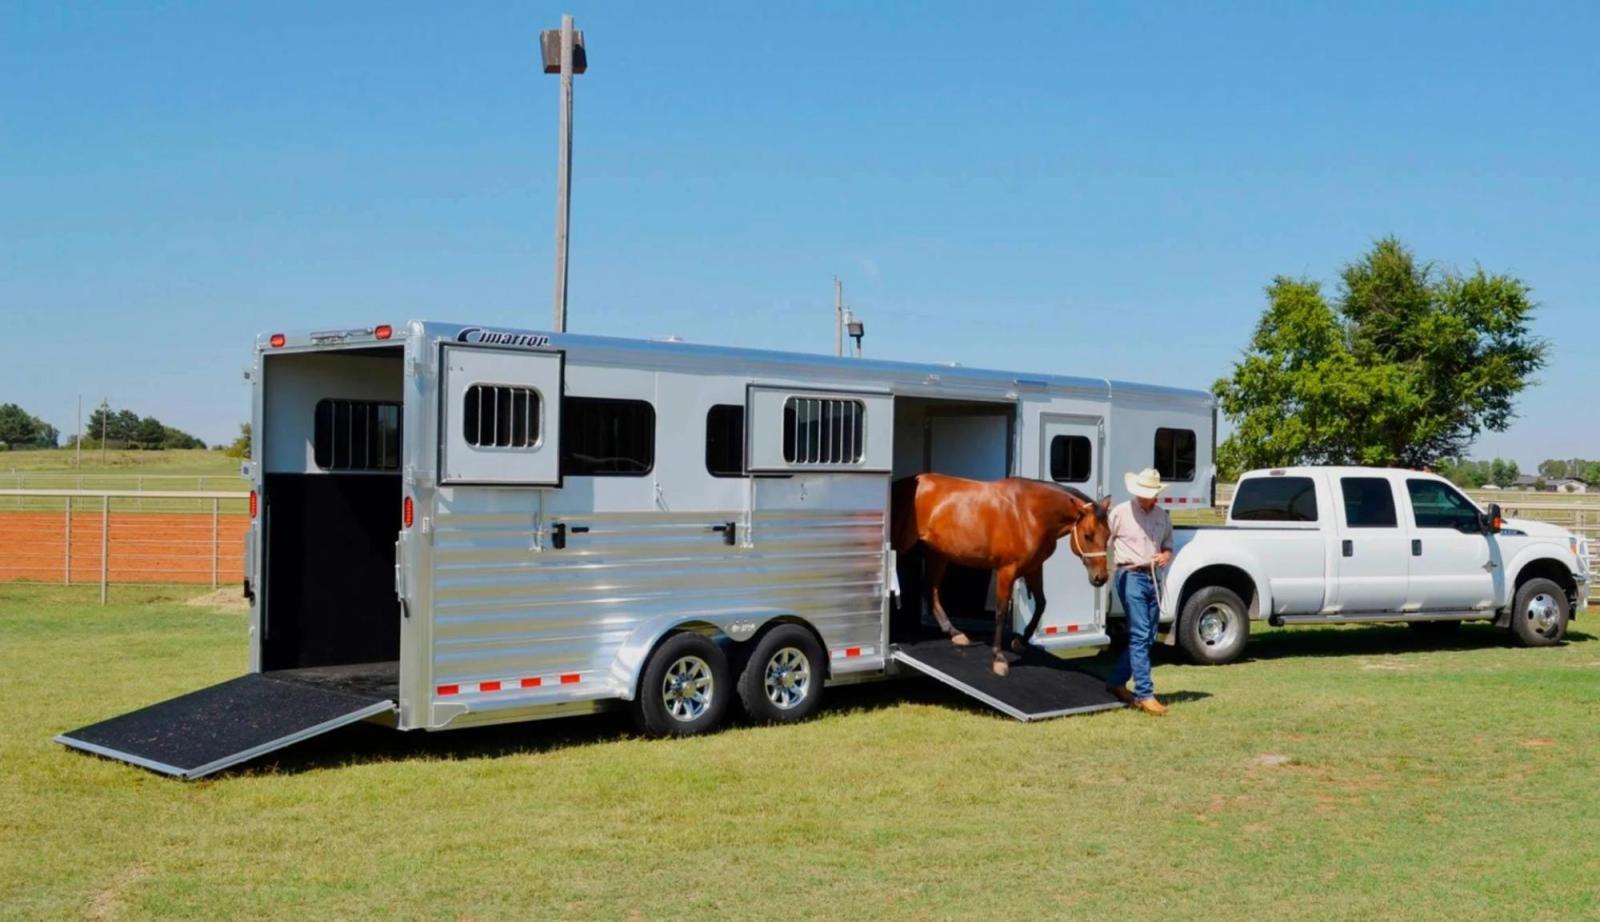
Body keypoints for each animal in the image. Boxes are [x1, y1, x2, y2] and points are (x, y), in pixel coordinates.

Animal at [896, 473, 1107, 678]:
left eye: (1108, 535)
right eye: (1088, 535)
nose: (1101, 578)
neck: (1029, 513)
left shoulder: (1033, 568)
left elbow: (1041, 604)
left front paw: (1020, 641)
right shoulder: (1007, 570)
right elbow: (1001, 611)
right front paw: (998, 658)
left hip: (937, 554)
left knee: (930, 589)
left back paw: (954, 632)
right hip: (906, 548)